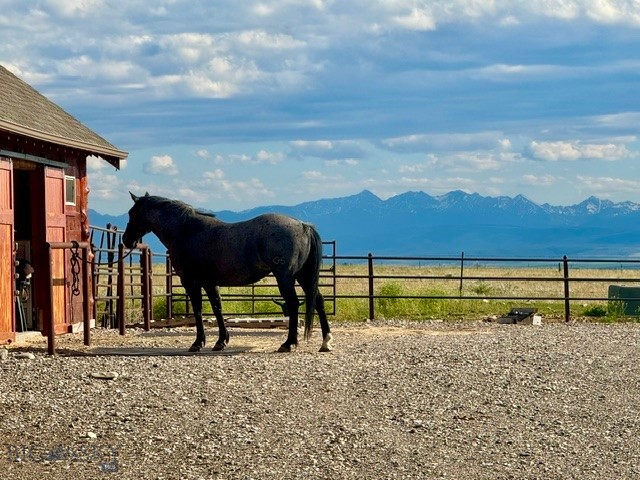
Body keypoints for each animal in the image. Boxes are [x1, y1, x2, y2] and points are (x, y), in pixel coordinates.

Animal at [121, 192, 333, 353]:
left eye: (132, 213)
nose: (126, 240)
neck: (185, 230)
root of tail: (303, 226)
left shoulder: (191, 281)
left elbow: (198, 310)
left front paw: (198, 343)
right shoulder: (209, 282)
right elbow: (217, 308)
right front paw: (221, 341)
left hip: (286, 277)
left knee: (294, 304)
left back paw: (288, 344)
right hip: (303, 276)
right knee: (318, 301)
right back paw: (326, 342)